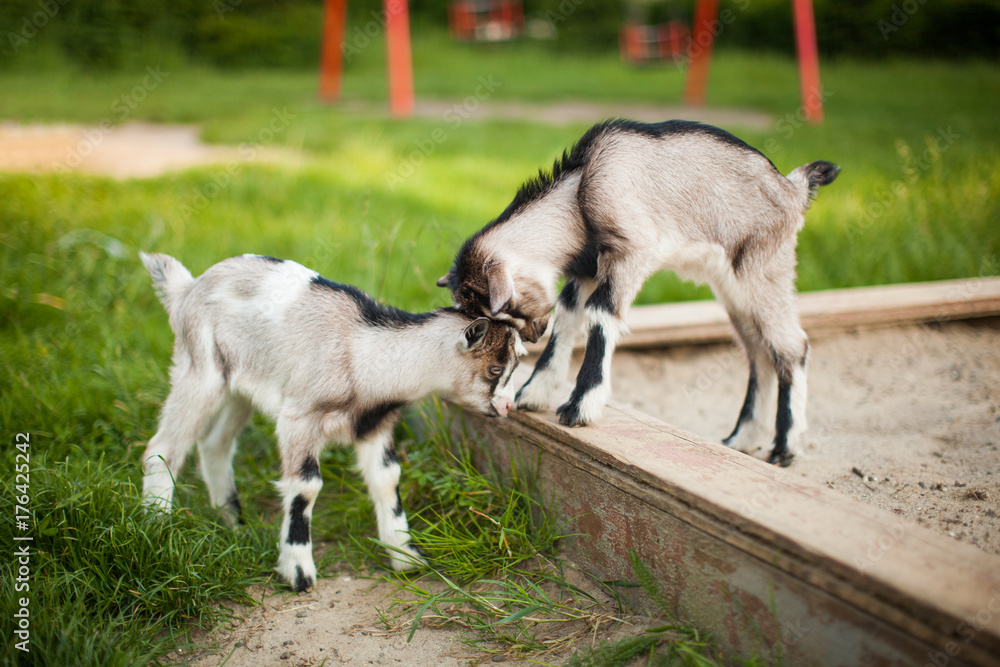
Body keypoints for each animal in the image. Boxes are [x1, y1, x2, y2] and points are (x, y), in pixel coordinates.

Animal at [139, 252, 525, 591]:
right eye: (494, 369)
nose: (507, 407)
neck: (363, 352)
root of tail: (186, 288)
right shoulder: (299, 418)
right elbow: (305, 487)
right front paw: (298, 572)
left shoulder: (374, 425)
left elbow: (388, 480)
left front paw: (406, 558)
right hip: (200, 368)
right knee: (163, 447)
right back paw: (157, 526)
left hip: (240, 388)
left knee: (215, 444)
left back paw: (234, 523)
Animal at [437, 119, 839, 466]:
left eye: (503, 310)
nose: (534, 336)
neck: (577, 192)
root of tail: (794, 189)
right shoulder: (588, 270)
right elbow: (569, 314)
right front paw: (535, 393)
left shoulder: (631, 253)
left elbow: (601, 315)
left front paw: (579, 407)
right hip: (733, 290)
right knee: (758, 351)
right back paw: (741, 438)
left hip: (763, 270)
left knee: (791, 346)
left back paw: (784, 447)